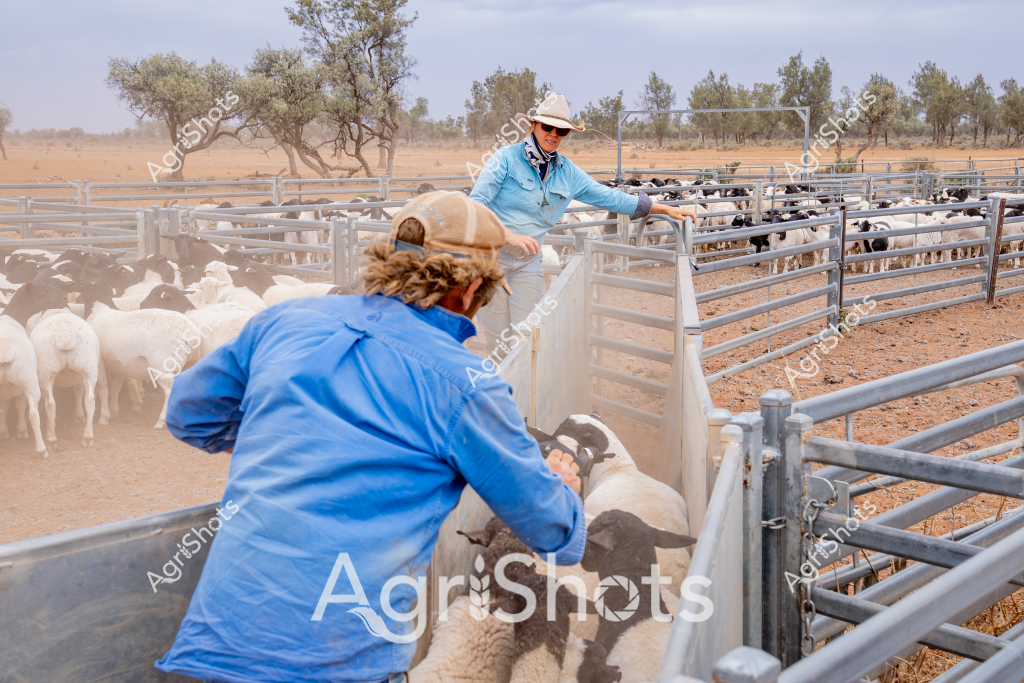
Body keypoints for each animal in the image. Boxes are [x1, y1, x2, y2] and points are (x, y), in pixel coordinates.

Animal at [73, 279, 203, 430]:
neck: (98, 309)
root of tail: (189, 330)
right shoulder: (118, 363)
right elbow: (116, 386)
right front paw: (114, 411)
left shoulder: (99, 361)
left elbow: (103, 388)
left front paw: (104, 417)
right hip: (191, 362)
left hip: (162, 366)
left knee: (170, 391)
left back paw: (161, 421)